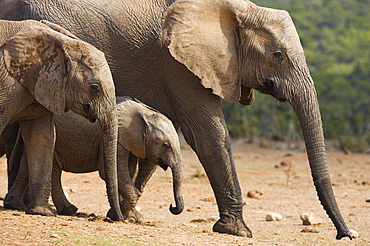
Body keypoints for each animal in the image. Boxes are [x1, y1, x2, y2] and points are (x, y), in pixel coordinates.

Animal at [0, 19, 122, 219]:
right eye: (94, 88)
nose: (116, 218)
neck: (61, 44)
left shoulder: (42, 85)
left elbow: (42, 137)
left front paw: (43, 212)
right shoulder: (8, 83)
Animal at [7, 96, 184, 223]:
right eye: (166, 145)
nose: (172, 207)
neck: (144, 113)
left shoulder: (131, 142)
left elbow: (128, 172)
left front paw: (124, 215)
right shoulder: (118, 138)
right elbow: (113, 173)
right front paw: (129, 218)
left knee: (33, 164)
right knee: (51, 168)